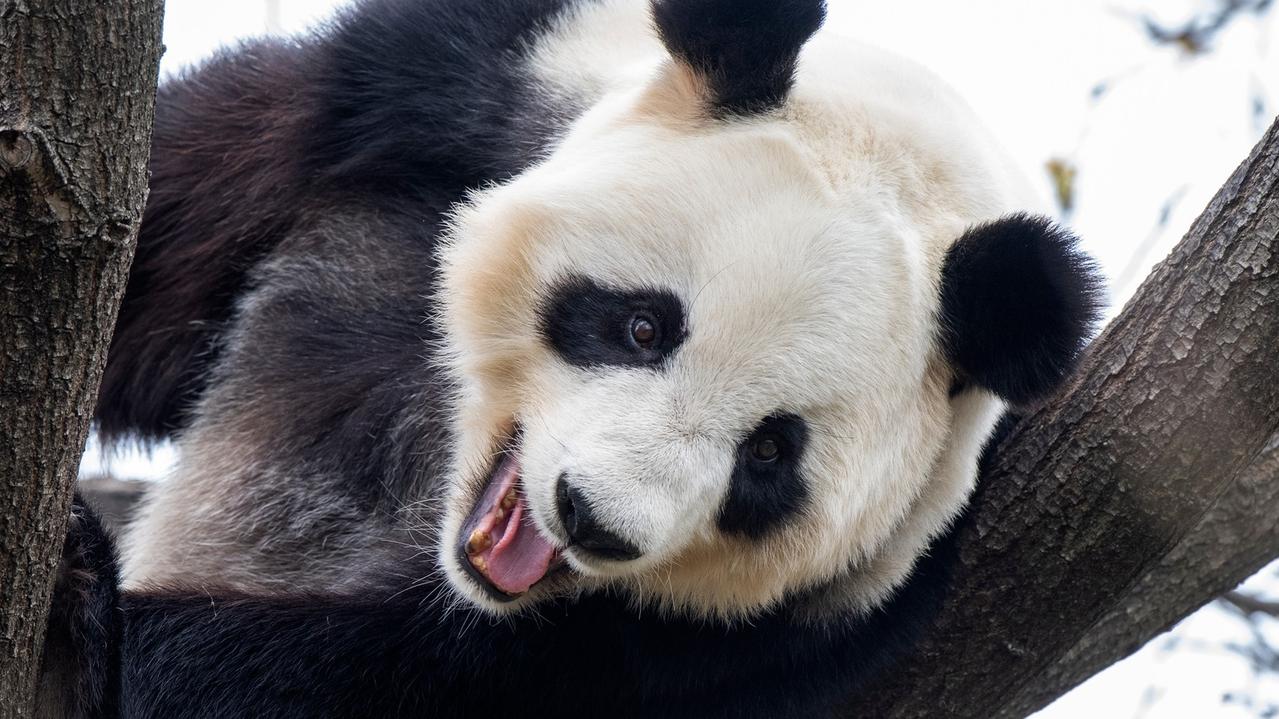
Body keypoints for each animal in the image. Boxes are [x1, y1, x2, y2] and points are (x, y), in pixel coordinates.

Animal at [47, 0, 1099, 711]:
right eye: (642, 326)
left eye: (769, 454)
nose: (594, 519)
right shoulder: (430, 95)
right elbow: (163, 220)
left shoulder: (764, 635)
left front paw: (102, 617)